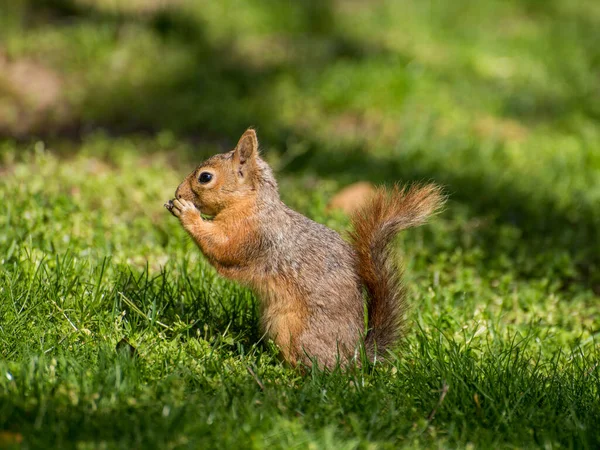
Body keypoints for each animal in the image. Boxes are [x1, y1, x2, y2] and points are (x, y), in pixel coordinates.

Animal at [165, 128, 446, 368]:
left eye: (205, 177)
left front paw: (186, 213)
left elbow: (222, 247)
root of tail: (354, 358)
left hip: (294, 331)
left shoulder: (254, 235)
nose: (177, 192)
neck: (251, 204)